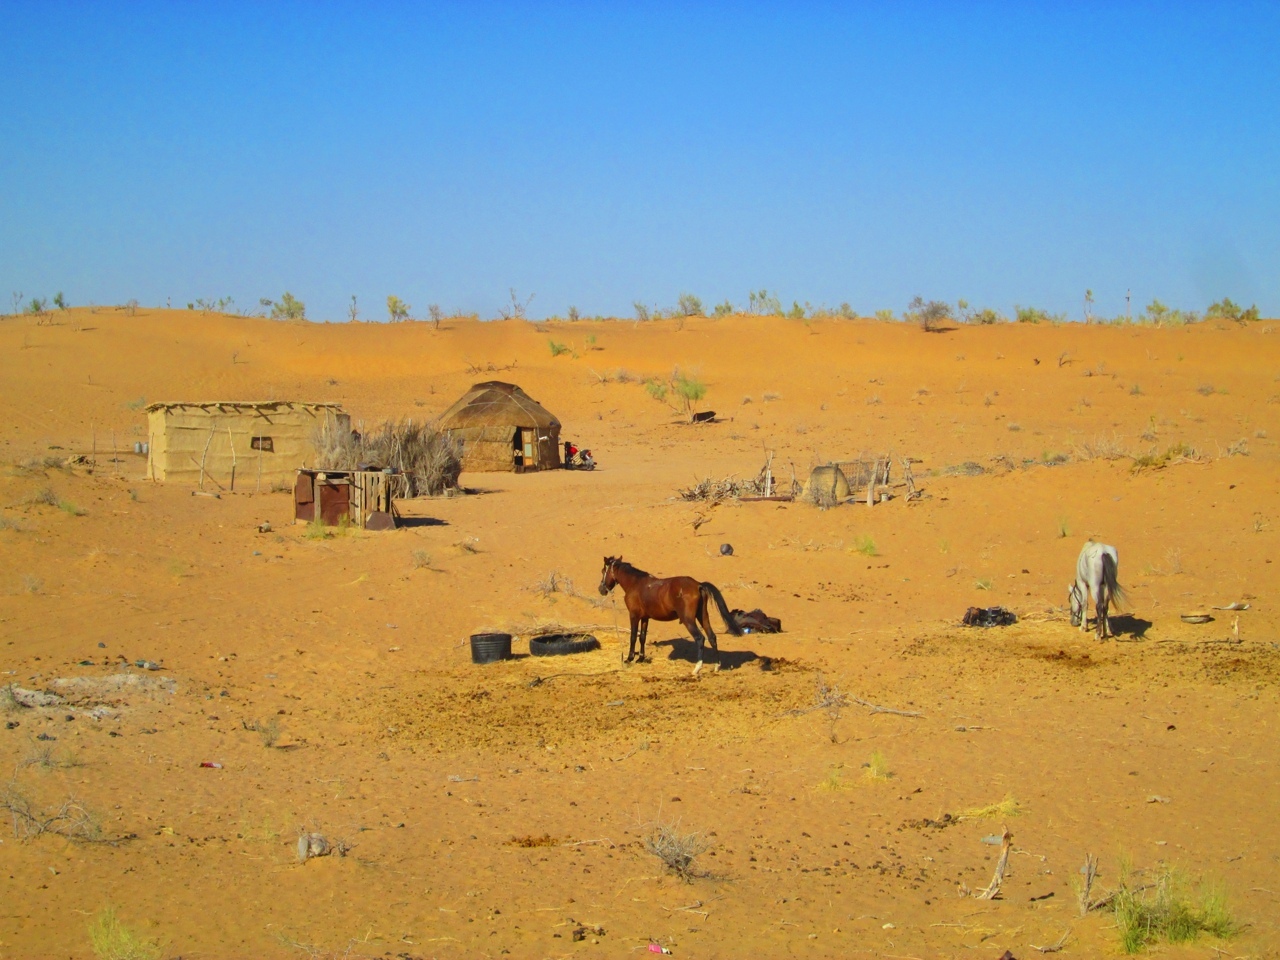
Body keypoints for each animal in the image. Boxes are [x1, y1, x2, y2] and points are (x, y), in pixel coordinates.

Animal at [598, 556, 742, 674]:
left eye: (603, 571)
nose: (601, 589)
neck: (635, 583)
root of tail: (698, 585)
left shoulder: (634, 616)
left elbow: (633, 637)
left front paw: (629, 658)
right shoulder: (645, 618)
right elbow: (642, 637)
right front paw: (641, 658)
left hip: (688, 620)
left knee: (700, 638)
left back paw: (697, 668)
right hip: (703, 617)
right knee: (712, 636)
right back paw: (717, 666)